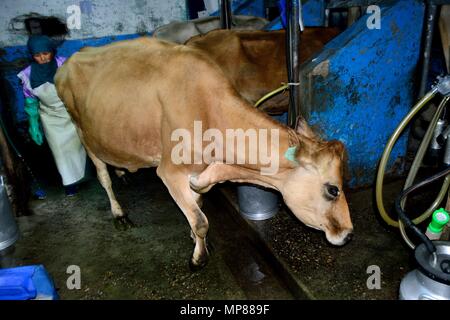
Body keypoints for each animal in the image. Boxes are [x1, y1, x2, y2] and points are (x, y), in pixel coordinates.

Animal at [54, 36, 354, 268]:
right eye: (333, 189)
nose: (349, 235)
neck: (209, 111)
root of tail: (70, 60)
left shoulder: (198, 170)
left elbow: (197, 202)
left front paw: (193, 234)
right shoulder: (170, 171)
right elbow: (201, 221)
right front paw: (198, 257)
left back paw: (122, 170)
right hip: (83, 132)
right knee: (102, 175)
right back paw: (119, 213)